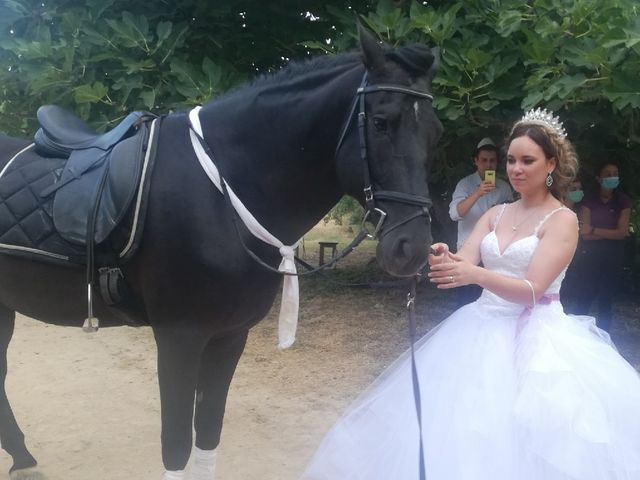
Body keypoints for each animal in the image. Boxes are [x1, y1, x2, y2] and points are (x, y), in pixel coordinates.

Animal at [0, 28, 440, 478]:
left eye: (435, 131)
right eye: (382, 122)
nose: (412, 247)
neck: (221, 193)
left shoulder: (230, 335)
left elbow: (209, 431)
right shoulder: (178, 337)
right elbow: (177, 444)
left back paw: (22, 456)